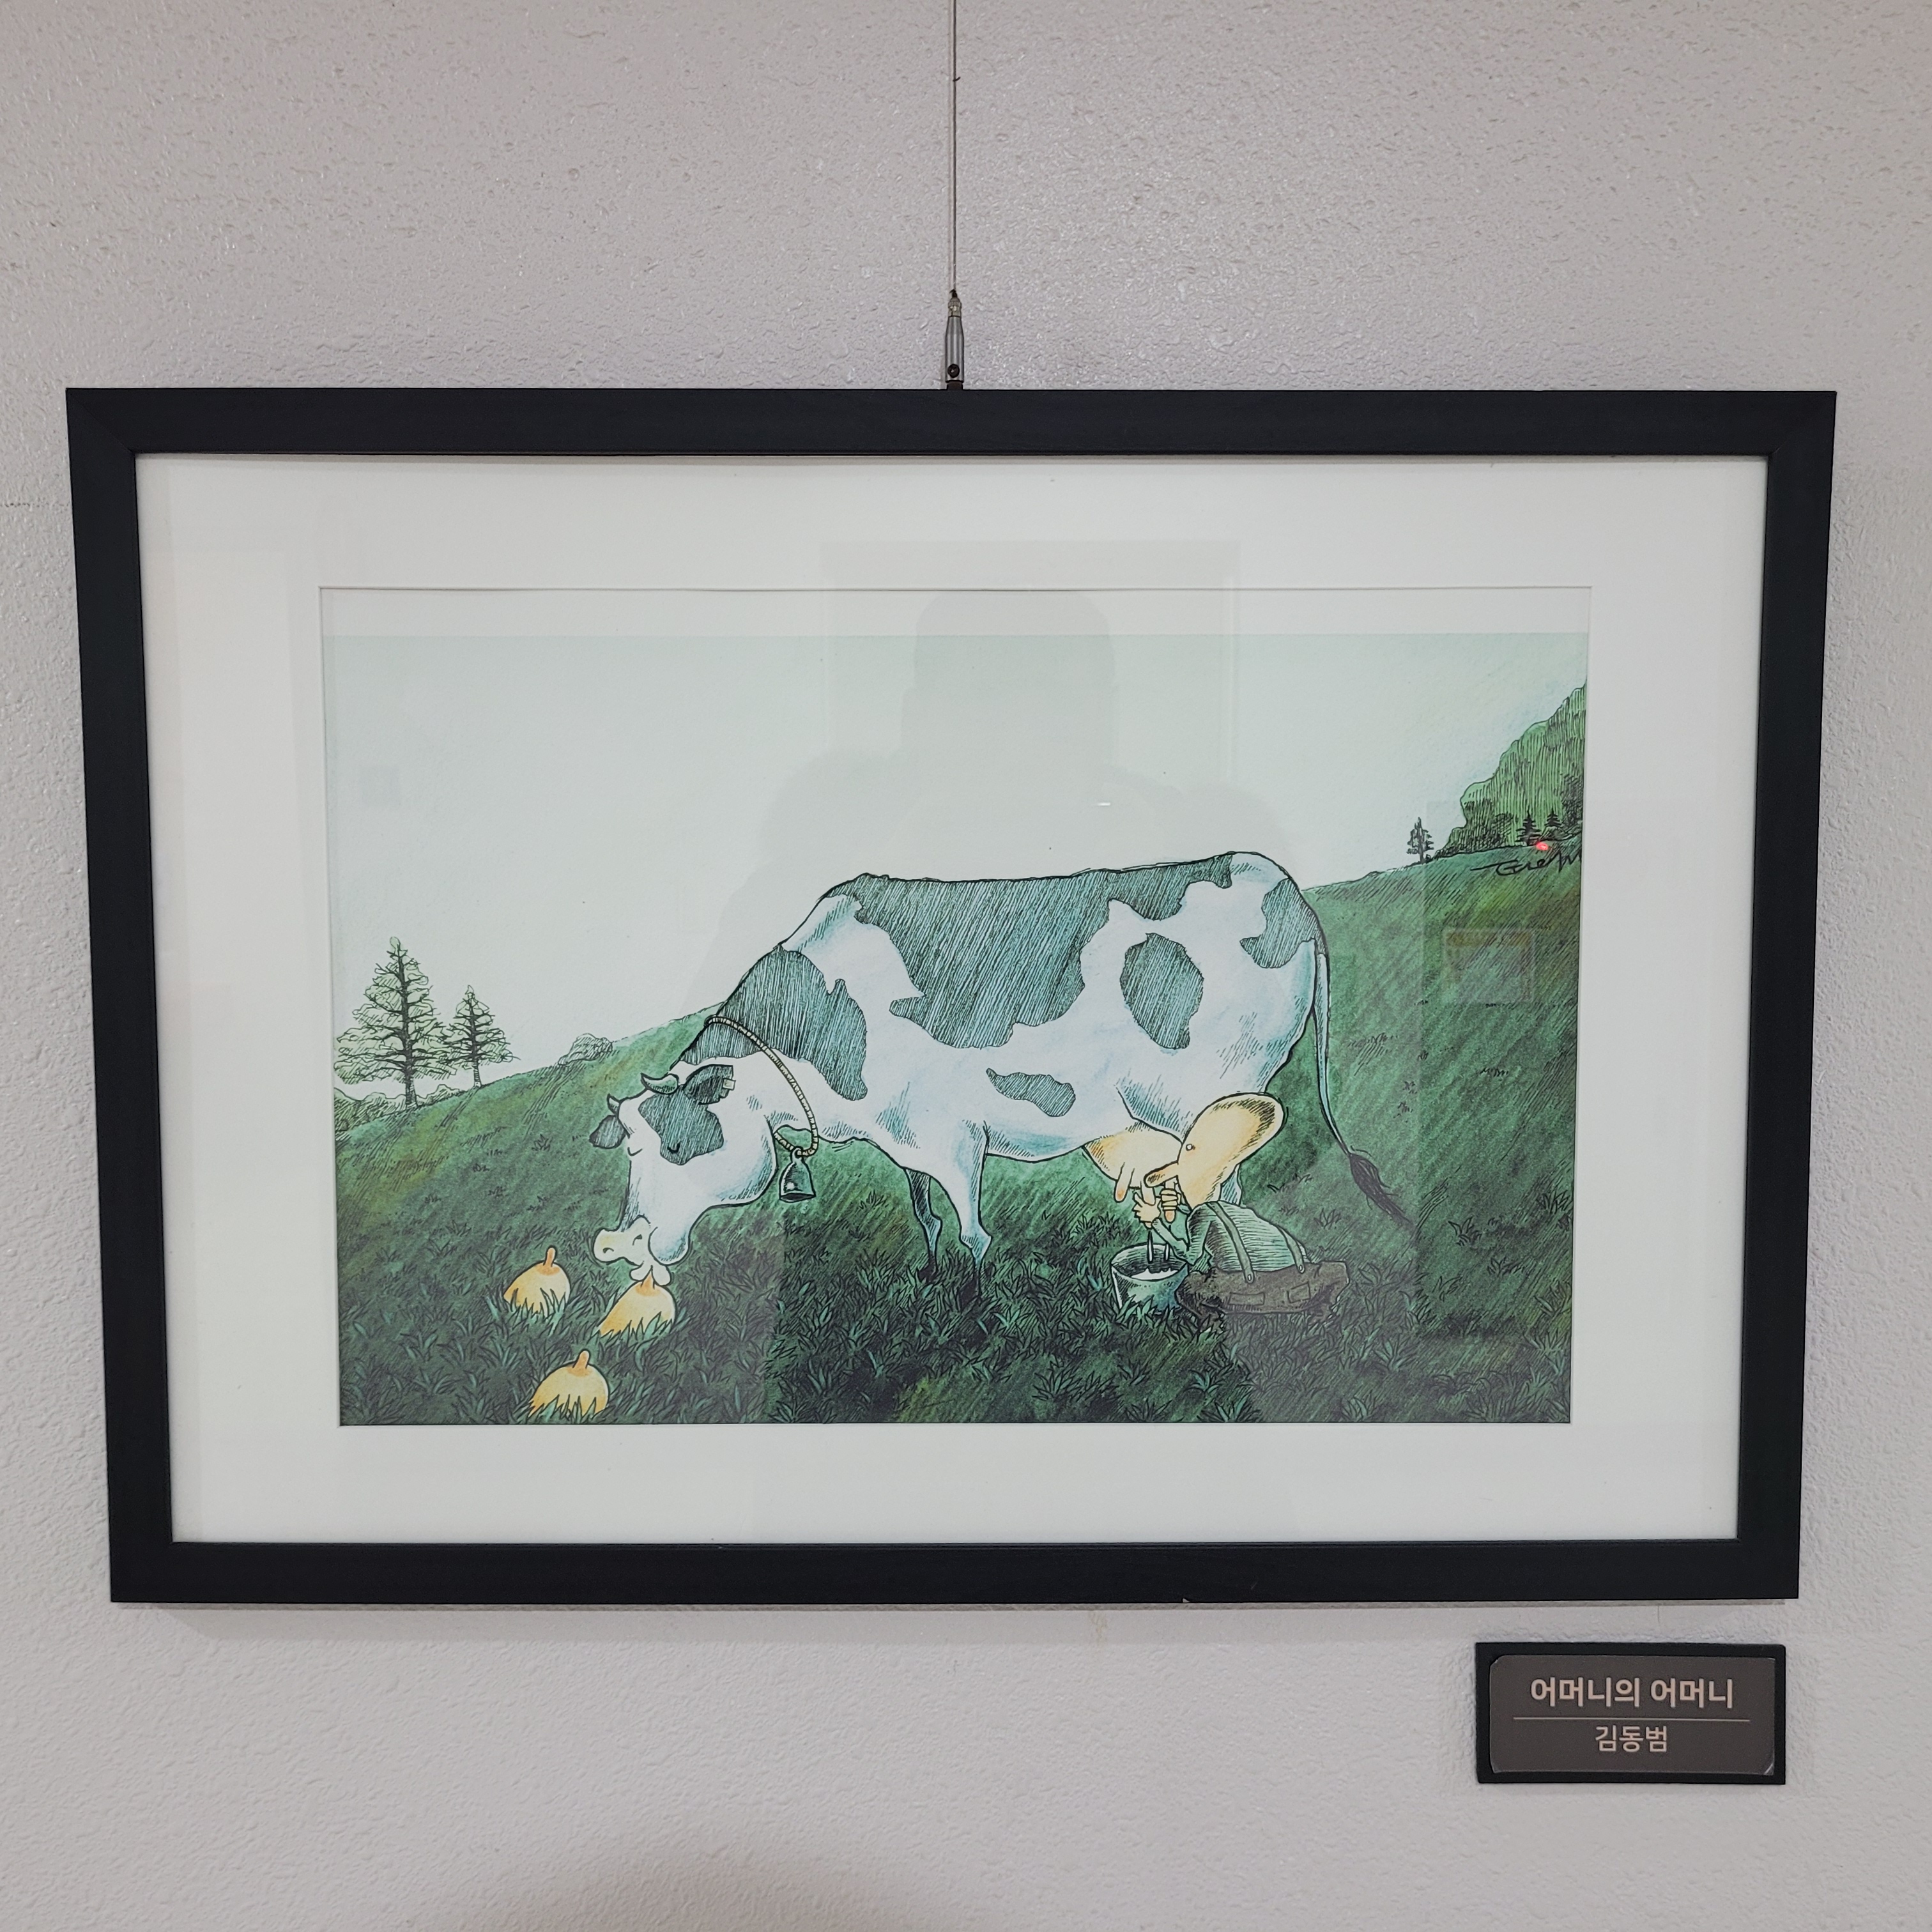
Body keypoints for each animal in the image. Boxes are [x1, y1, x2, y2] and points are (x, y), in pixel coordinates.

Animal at [588, 851, 1402, 1297]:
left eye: (673, 1144)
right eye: (629, 1146)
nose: (625, 1242)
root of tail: (1281, 881)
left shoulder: (950, 1136)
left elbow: (974, 1232)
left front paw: (971, 1306)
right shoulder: (903, 1138)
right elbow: (923, 1213)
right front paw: (929, 1278)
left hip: (1216, 1095)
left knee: (1225, 1189)